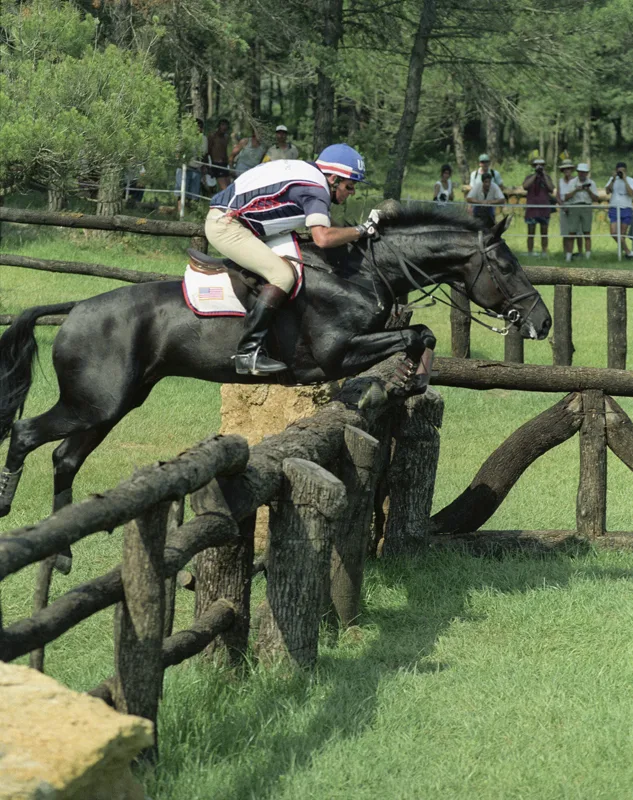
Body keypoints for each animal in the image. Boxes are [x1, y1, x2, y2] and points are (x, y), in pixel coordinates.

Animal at [0, 206, 548, 536]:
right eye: (506, 266)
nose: (540, 321)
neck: (362, 271)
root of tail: (75, 309)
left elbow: (421, 335)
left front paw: (411, 379)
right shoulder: (334, 354)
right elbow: (417, 335)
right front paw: (406, 380)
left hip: (113, 404)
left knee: (65, 458)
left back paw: (64, 546)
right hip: (96, 401)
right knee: (25, 433)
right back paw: (8, 505)